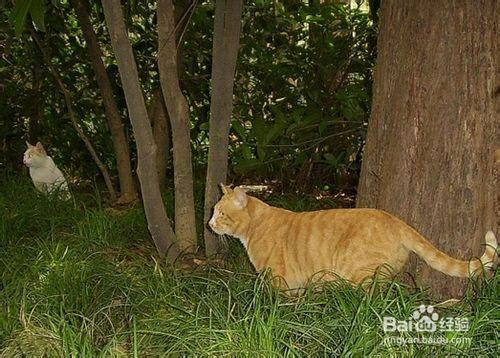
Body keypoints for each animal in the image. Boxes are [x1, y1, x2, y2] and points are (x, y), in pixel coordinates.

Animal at [208, 185, 496, 290]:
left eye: (220, 213)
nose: (209, 223)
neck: (254, 226)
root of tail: (394, 219)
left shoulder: (277, 279)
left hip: (358, 276)